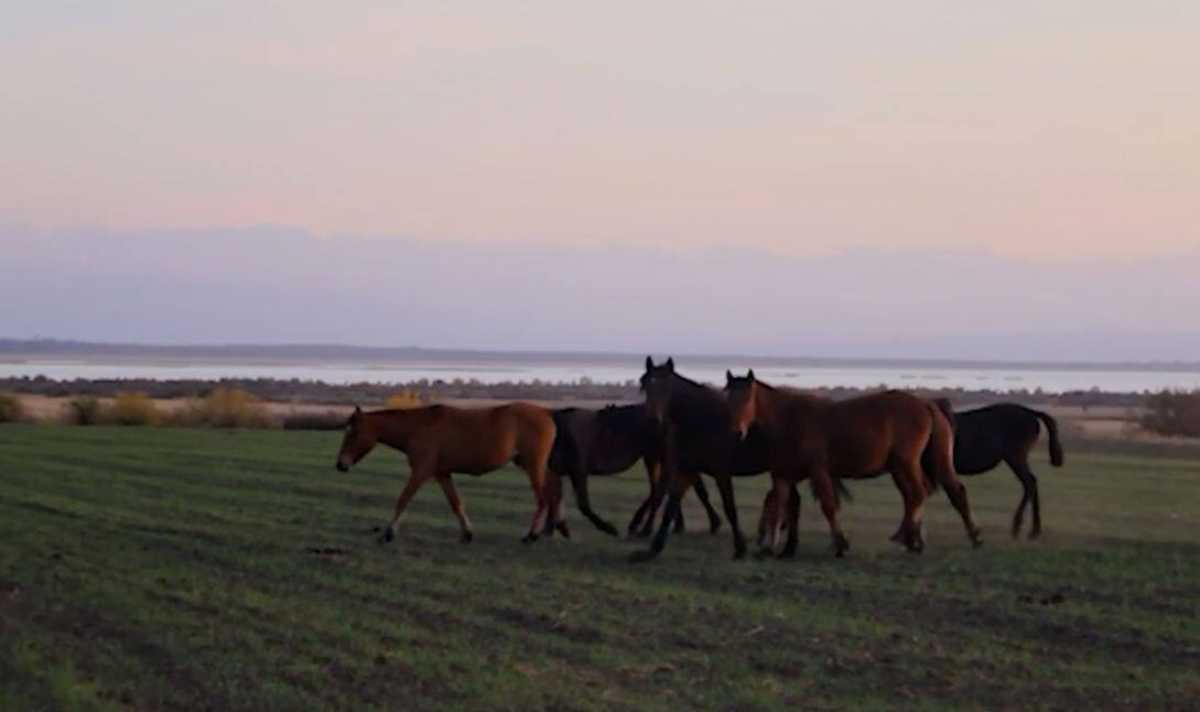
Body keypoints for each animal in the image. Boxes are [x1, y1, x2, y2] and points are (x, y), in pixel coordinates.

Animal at [336, 403, 559, 540]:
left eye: (353, 433)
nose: (340, 465)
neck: (418, 427)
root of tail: (546, 414)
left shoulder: (421, 472)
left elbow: (403, 499)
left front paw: (389, 532)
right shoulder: (442, 474)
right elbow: (456, 503)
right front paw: (467, 533)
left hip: (533, 467)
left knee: (543, 499)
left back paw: (531, 535)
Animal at [549, 403, 720, 535]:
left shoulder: (579, 469)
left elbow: (583, 505)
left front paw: (609, 528)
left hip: (658, 457)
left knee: (665, 488)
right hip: (653, 457)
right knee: (665, 487)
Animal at [724, 372, 979, 554]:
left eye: (747, 398)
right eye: (728, 396)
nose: (736, 432)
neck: (790, 420)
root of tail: (926, 404)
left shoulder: (818, 471)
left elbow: (828, 506)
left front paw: (840, 544)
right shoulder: (782, 476)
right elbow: (779, 506)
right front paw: (769, 547)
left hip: (909, 463)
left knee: (925, 493)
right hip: (908, 466)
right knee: (922, 495)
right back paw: (914, 538)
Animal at [926, 398, 1060, 537]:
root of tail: (1031, 412)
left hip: (1015, 457)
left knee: (1030, 483)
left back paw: (1018, 526)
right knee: (1032, 482)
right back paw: (1034, 530)